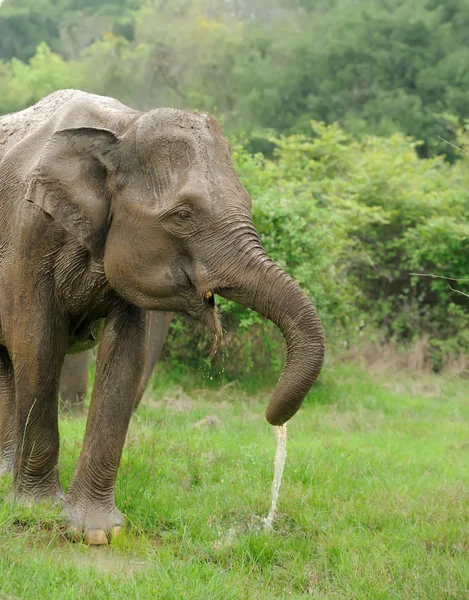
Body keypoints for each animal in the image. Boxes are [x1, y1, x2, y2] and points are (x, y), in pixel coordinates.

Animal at [0, 89, 324, 544]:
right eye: (183, 215)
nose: (273, 418)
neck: (122, 127)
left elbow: (126, 355)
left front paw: (97, 533)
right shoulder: (29, 234)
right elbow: (38, 344)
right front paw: (40, 510)